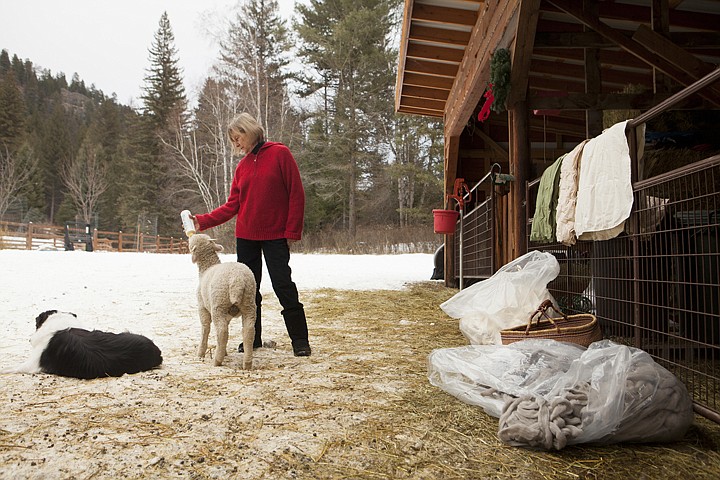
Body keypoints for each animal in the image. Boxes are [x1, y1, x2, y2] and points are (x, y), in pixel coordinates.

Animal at [190, 234, 258, 370]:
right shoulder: (228, 314)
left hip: (219, 305)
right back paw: (247, 363)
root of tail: (237, 280)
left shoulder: (202, 307)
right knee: (248, 331)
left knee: (221, 331)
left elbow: (205, 328)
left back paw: (217, 360)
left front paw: (200, 353)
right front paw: (225, 352)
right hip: (249, 303)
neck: (207, 267)